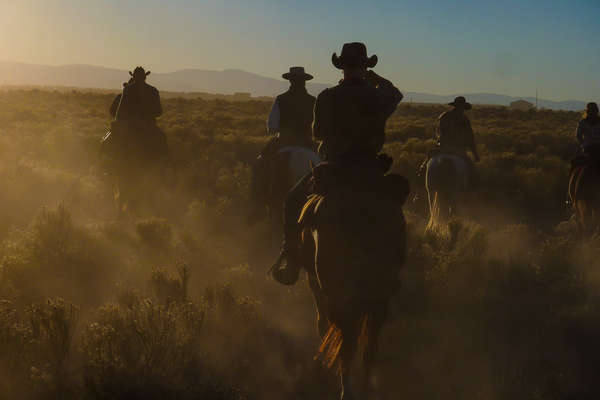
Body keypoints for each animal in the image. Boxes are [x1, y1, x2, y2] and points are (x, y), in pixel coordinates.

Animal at [298, 173, 408, 400]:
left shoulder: (318, 286)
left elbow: (324, 324)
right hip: (378, 296)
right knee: (369, 342)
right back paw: (365, 385)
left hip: (340, 292)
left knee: (348, 339)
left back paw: (346, 388)